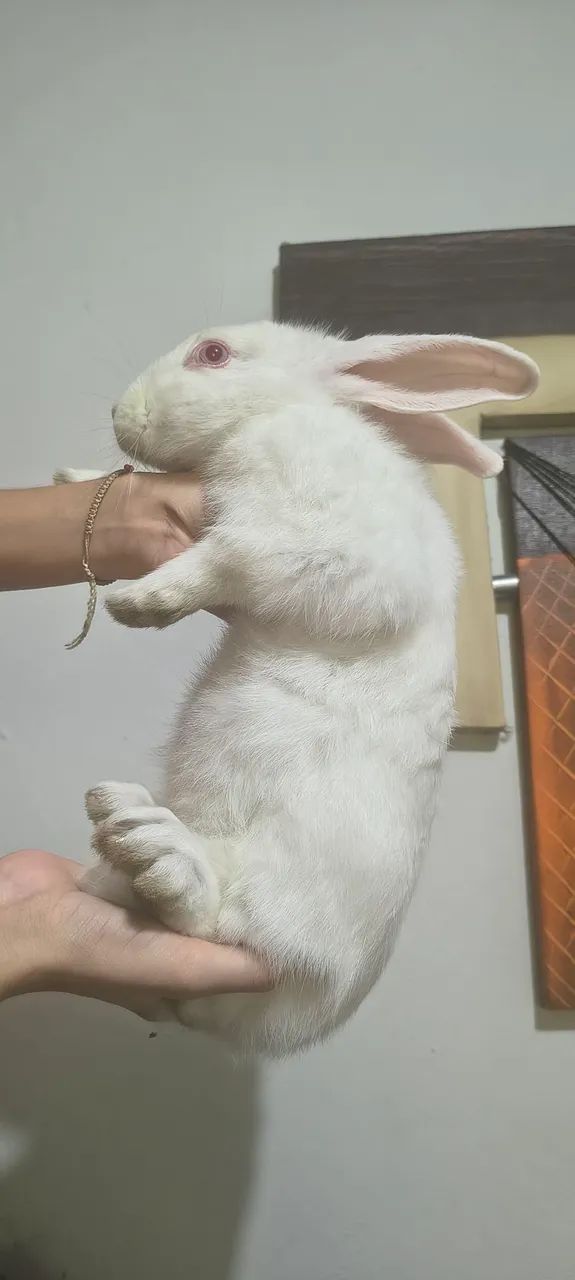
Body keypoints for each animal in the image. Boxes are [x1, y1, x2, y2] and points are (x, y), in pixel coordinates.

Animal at [57, 322, 538, 1057]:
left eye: (214, 354)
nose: (119, 413)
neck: (279, 411)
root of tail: (309, 1012)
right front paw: (74, 479)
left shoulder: (333, 548)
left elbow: (230, 558)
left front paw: (141, 601)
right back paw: (121, 838)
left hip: (280, 897)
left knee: (215, 919)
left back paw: (159, 851)